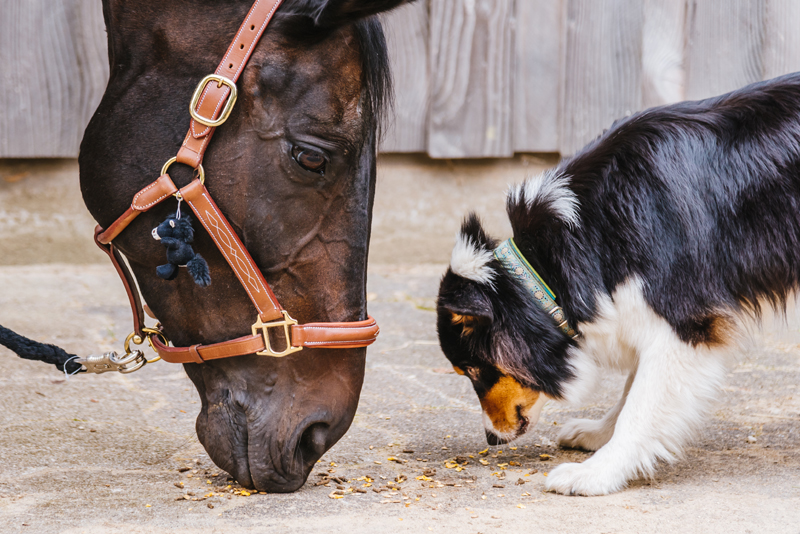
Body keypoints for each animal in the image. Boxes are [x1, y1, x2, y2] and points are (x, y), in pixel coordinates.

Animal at [434, 72, 800, 498]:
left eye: (473, 370)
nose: (490, 439)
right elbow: (630, 389)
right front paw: (597, 434)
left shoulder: (682, 322)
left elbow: (641, 403)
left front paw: (596, 473)